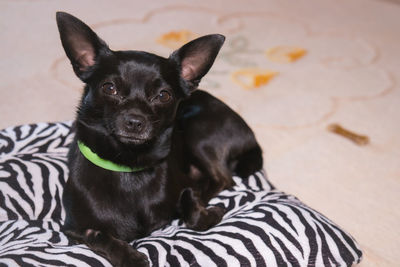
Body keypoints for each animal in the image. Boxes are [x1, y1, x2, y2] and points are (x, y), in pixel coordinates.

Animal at [57, 11, 262, 266]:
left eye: (163, 95)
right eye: (109, 88)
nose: (135, 122)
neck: (128, 167)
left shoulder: (183, 186)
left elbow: (191, 209)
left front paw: (206, 209)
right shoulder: (72, 229)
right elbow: (98, 236)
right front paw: (130, 257)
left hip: (198, 134)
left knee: (223, 178)